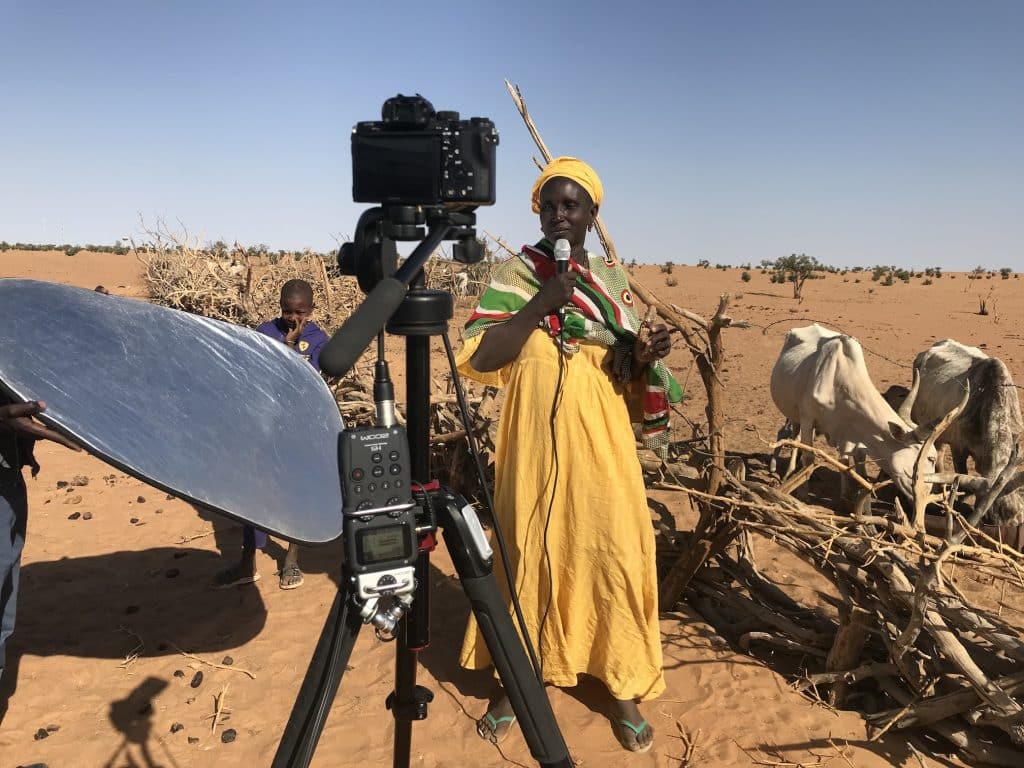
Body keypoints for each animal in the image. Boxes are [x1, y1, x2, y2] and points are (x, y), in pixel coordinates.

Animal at [770, 324, 937, 502]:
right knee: (793, 437)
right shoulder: (808, 418)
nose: (926, 494)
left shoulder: (848, 431)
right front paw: (803, 494)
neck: (838, 383)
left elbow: (845, 461)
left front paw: (846, 495)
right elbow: (809, 457)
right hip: (794, 414)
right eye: (931, 458)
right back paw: (787, 473)